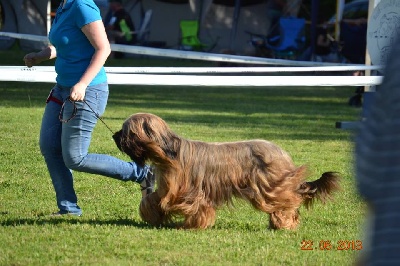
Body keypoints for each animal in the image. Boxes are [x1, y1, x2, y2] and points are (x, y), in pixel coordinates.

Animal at [113, 113, 340, 230]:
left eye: (127, 131)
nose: (114, 136)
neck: (168, 152)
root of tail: (282, 153)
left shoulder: (188, 191)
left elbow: (193, 206)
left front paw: (193, 225)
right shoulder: (169, 189)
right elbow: (152, 200)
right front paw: (153, 216)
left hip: (269, 186)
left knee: (289, 201)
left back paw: (285, 222)